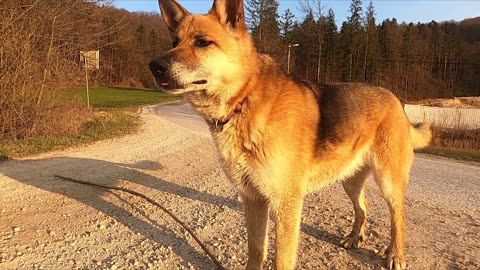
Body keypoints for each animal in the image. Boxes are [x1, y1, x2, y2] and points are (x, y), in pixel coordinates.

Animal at [149, 0, 432, 268]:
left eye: (202, 42)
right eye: (174, 42)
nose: (154, 65)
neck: (245, 101)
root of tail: (395, 99)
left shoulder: (286, 204)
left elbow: (281, 260)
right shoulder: (253, 199)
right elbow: (256, 250)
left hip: (388, 181)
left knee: (398, 217)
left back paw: (395, 254)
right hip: (348, 178)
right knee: (363, 206)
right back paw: (355, 237)